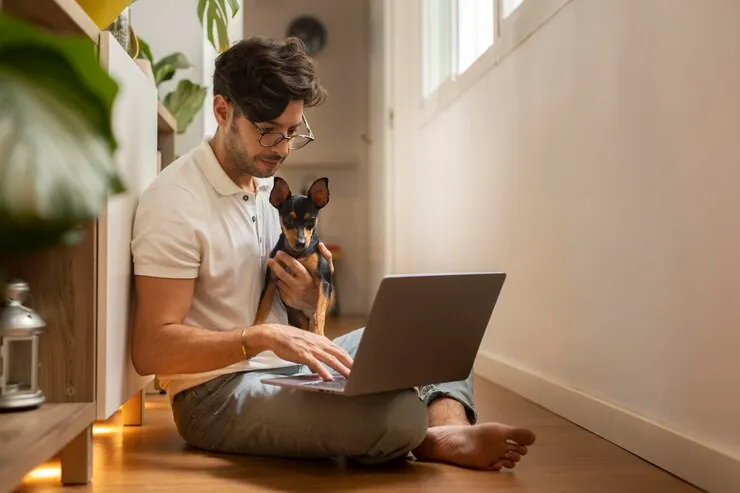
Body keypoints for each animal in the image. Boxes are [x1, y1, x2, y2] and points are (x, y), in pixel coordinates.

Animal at [254, 175, 336, 336]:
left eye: (311, 220)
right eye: (288, 219)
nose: (301, 243)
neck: (297, 254)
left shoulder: (324, 281)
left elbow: (318, 313)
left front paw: (318, 333)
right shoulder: (271, 282)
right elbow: (262, 308)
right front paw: (254, 328)